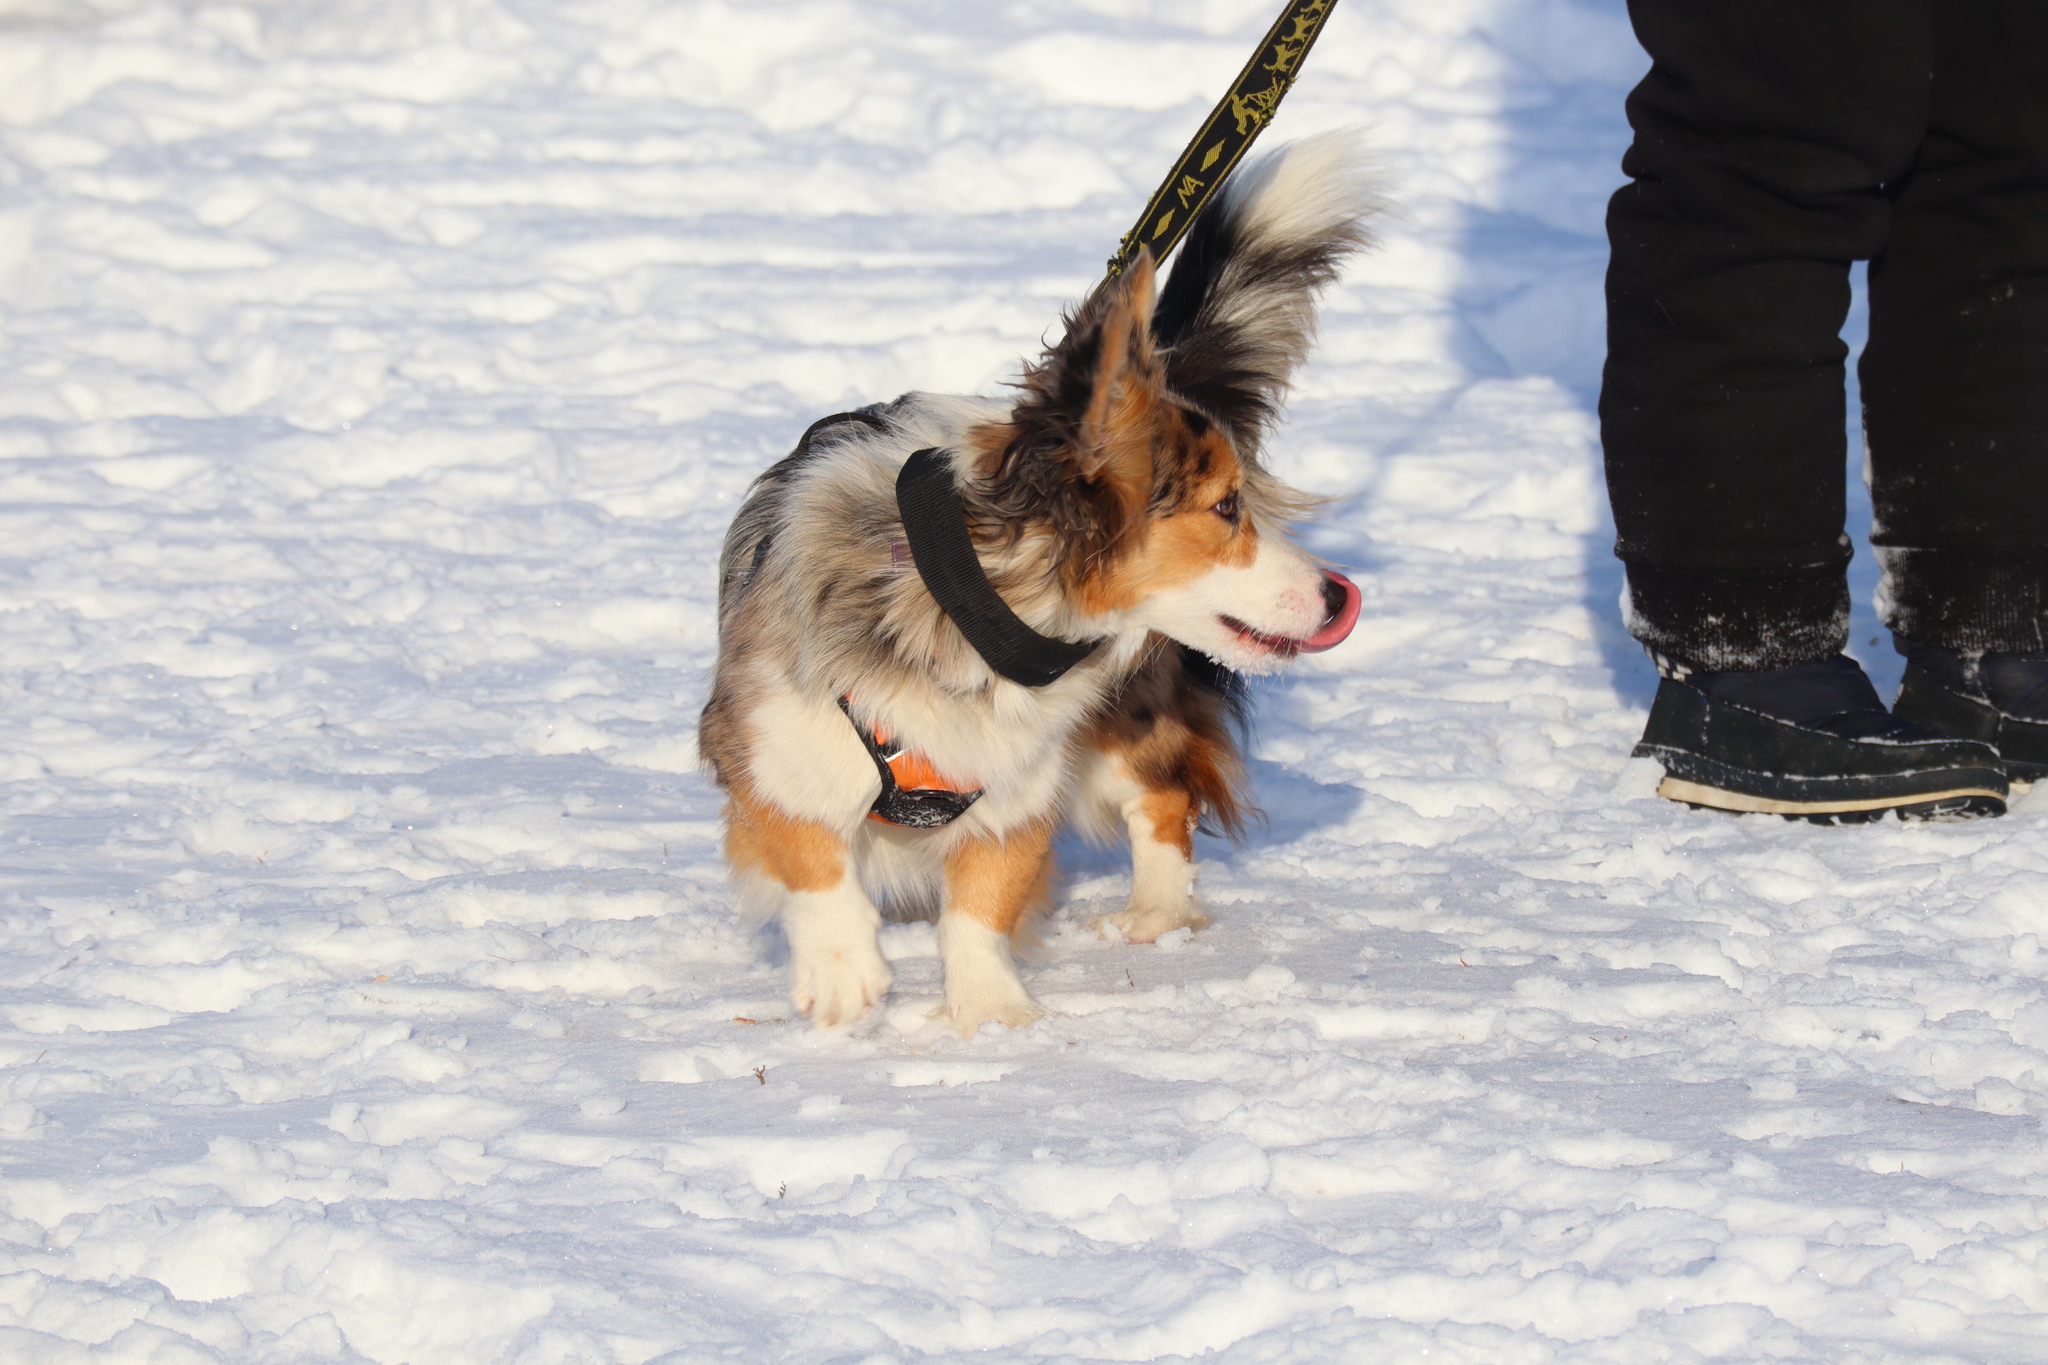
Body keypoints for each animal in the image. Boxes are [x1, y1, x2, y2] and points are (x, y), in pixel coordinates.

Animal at [696, 136, 1384, 1035]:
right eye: (1227, 507)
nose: (1339, 596)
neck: (968, 603)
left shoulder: (1020, 786)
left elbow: (981, 908)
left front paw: (989, 1016)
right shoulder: (768, 740)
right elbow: (813, 852)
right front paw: (845, 973)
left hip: (1126, 723)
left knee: (1163, 797)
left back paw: (1153, 913)